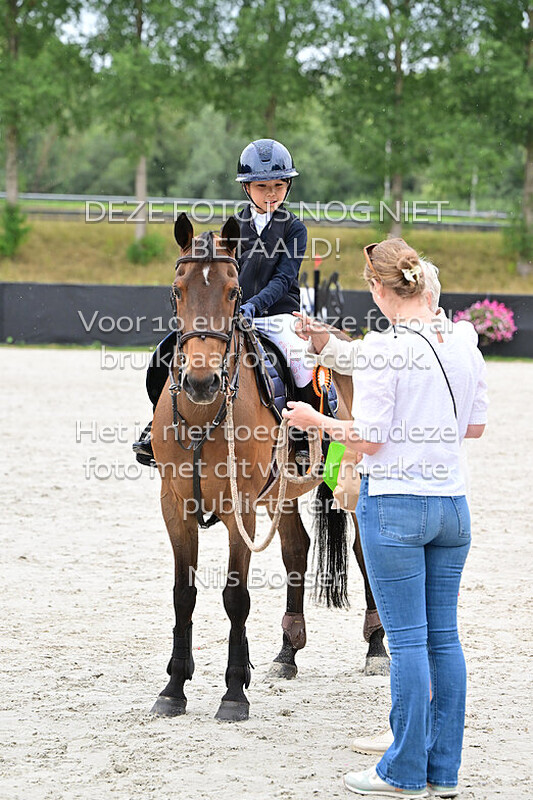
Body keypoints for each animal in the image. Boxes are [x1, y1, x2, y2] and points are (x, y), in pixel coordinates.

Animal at [149, 213, 389, 722]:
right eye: (177, 290)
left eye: (233, 292)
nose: (201, 381)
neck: (203, 416)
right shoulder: (175, 506)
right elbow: (183, 594)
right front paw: (174, 687)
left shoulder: (241, 509)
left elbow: (235, 597)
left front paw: (233, 693)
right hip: (283, 495)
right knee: (296, 551)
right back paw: (287, 652)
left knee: (364, 552)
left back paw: (377, 647)